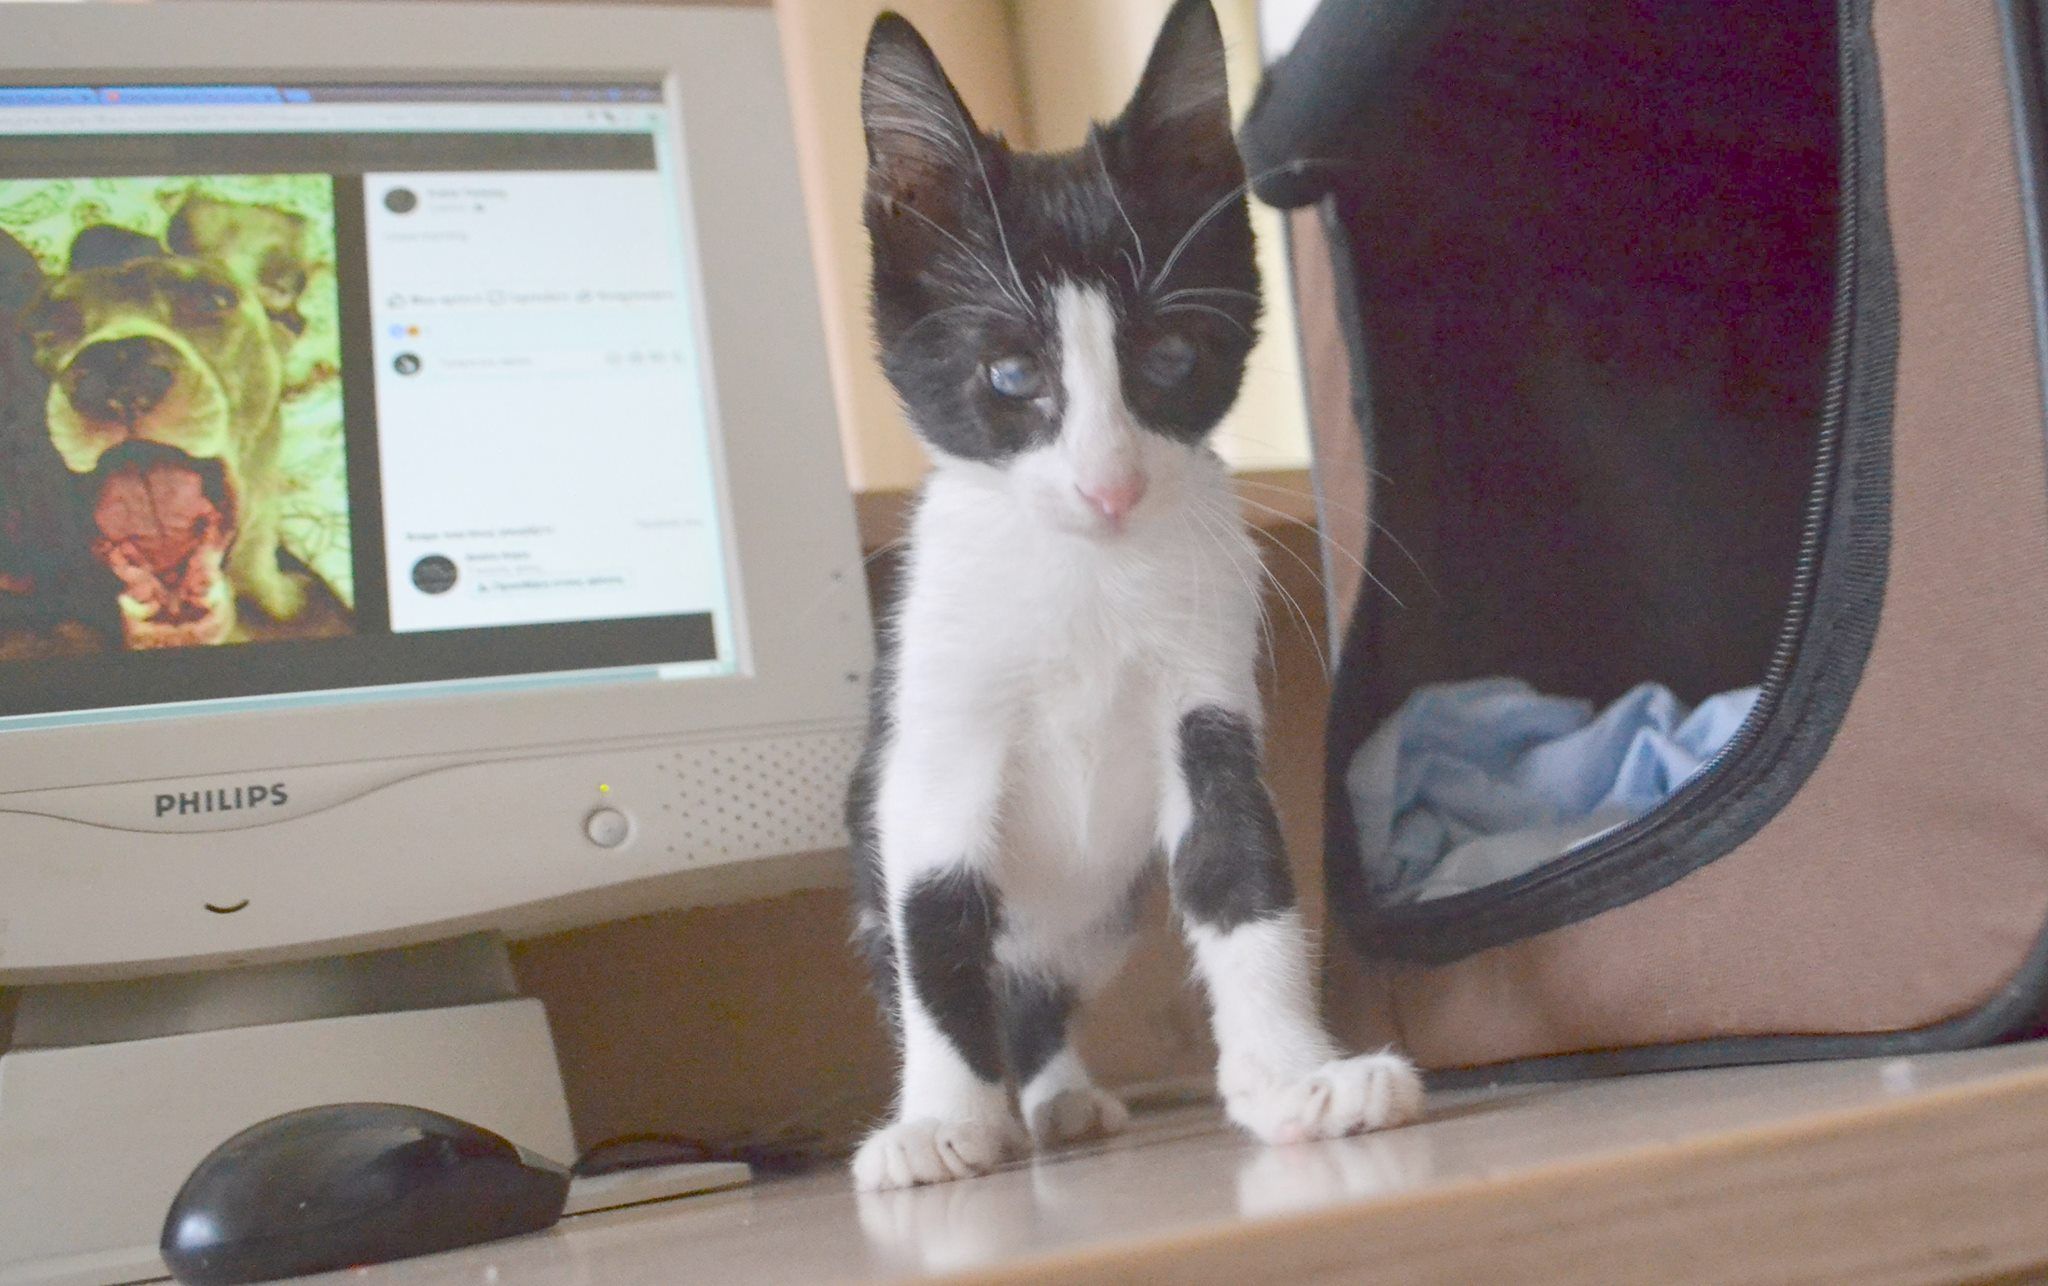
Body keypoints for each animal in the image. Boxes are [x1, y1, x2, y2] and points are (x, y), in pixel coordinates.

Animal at [847, 0, 1423, 1191]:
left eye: (1166, 356)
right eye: (1012, 375)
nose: (1109, 486)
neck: (1086, 577)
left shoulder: (1208, 699)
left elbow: (1242, 870)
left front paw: (1293, 1078)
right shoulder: (934, 739)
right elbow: (938, 922)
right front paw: (938, 1121)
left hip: (1097, 917)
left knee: (1040, 995)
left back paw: (1057, 1096)